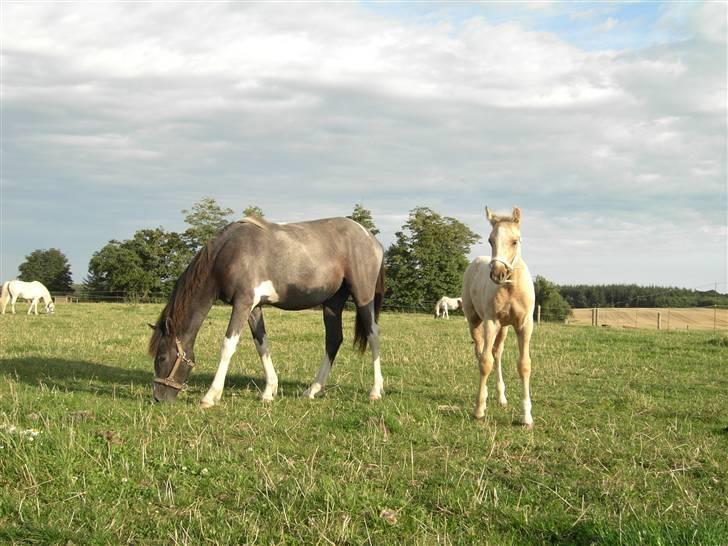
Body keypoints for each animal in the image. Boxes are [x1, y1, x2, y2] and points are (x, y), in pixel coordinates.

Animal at [149, 215, 386, 406]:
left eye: (161, 357)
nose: (158, 398)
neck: (228, 254)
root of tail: (372, 240)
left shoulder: (243, 303)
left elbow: (227, 346)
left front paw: (210, 396)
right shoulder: (254, 308)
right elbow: (262, 345)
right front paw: (269, 391)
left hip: (363, 296)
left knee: (373, 335)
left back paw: (375, 391)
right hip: (332, 304)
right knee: (333, 340)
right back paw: (312, 390)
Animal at [464, 206, 536, 428]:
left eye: (515, 241)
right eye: (490, 240)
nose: (498, 274)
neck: (510, 287)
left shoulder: (524, 325)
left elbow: (524, 365)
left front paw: (527, 417)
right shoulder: (491, 322)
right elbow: (485, 362)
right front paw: (479, 409)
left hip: (504, 328)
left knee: (498, 353)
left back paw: (501, 397)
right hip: (474, 321)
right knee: (481, 353)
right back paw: (486, 395)